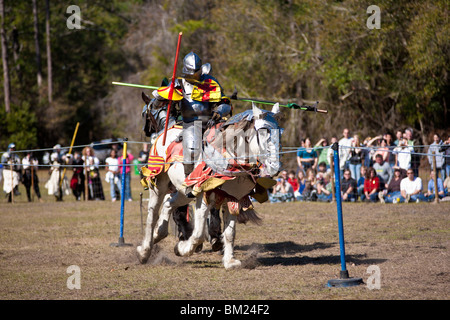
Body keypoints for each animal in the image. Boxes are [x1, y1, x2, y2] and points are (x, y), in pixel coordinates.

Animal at [136, 104, 284, 268]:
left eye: (279, 132)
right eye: (263, 132)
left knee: (169, 204)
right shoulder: (203, 197)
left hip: (183, 192)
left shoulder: (232, 198)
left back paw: (159, 233)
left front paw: (230, 261)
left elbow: (230, 233)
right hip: (158, 184)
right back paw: (144, 252)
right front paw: (182, 248)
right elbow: (199, 234)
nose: (274, 166)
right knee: (152, 215)